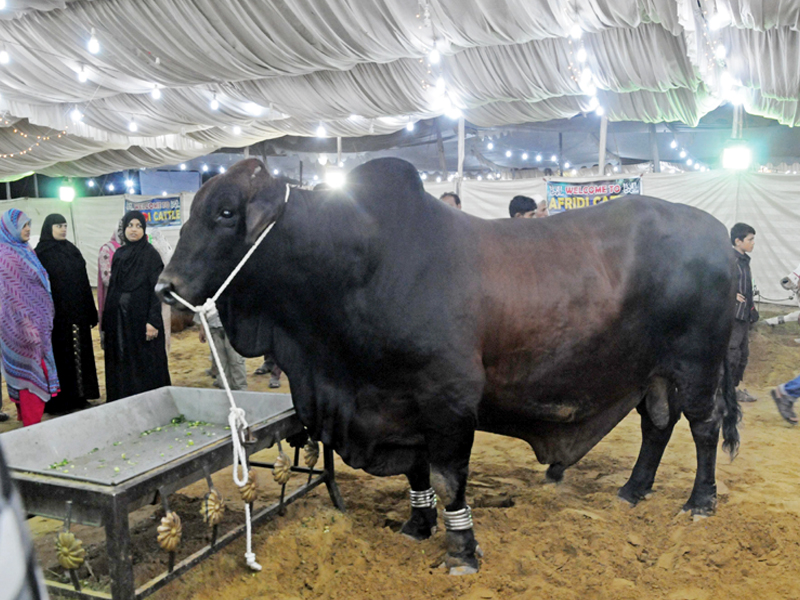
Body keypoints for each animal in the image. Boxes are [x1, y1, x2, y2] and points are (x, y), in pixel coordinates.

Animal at [159, 157, 740, 576]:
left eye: (226, 213)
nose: (167, 287)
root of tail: (718, 235)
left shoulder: (450, 400)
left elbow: (448, 478)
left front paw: (461, 550)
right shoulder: (398, 405)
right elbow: (417, 474)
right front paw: (417, 525)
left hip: (696, 364)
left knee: (704, 425)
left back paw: (700, 501)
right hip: (653, 373)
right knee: (657, 424)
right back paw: (633, 490)